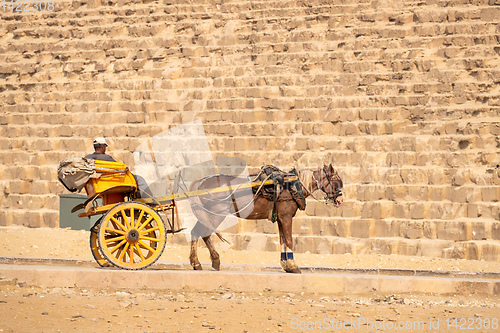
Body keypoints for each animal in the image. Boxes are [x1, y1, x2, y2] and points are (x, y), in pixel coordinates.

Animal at [184, 163, 344, 272]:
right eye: (336, 180)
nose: (341, 200)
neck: (292, 186)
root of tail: (200, 183)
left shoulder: (280, 218)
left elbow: (282, 240)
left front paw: (285, 265)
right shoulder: (286, 217)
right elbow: (289, 240)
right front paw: (293, 266)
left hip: (210, 214)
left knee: (198, 233)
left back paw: (204, 262)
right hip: (216, 213)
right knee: (201, 233)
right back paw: (201, 262)